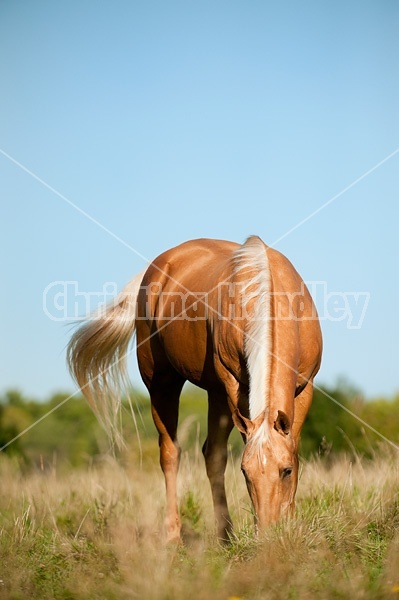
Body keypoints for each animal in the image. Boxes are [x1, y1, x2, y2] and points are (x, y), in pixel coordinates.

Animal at [69, 237, 324, 540]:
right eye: (245, 472)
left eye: (285, 471)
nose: (267, 533)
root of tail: (157, 268)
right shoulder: (234, 386)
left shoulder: (305, 388)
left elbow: (294, 446)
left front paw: (291, 523)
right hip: (163, 383)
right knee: (172, 453)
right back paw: (175, 534)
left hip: (214, 393)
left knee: (211, 454)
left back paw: (224, 536)